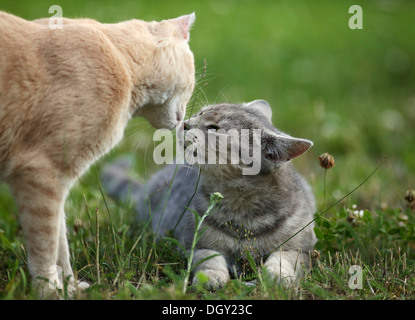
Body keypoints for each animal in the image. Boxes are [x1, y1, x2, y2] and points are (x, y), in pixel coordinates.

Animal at [0, 11, 197, 298]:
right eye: (192, 85)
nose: (183, 122)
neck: (123, 64)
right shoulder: (41, 172)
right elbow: (46, 245)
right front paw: (50, 290)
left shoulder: (54, 183)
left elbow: (61, 243)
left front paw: (70, 286)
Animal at [102, 100, 316, 288]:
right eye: (200, 113)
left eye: (214, 129)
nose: (184, 123)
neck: (243, 213)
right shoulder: (193, 244)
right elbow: (209, 258)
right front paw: (211, 278)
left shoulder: (302, 248)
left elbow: (284, 258)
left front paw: (279, 277)